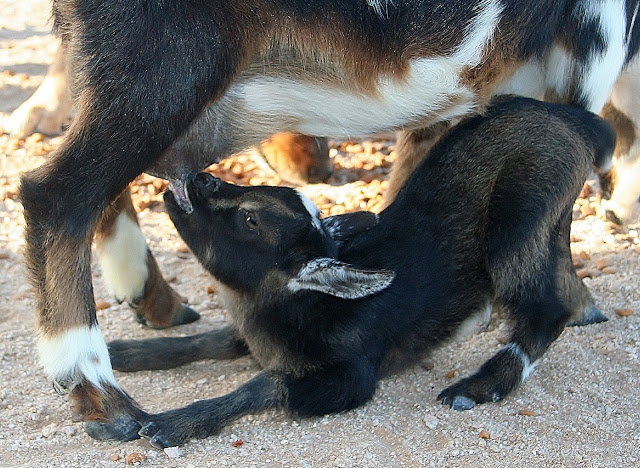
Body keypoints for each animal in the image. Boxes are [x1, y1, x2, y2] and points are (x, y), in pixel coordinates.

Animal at [101, 97, 615, 448]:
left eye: (250, 220)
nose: (201, 178)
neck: (305, 308)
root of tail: (575, 120)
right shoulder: (250, 335)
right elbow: (201, 341)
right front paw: (119, 352)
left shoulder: (351, 377)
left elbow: (267, 384)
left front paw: (170, 422)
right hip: (549, 222)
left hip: (521, 218)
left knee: (545, 310)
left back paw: (479, 386)